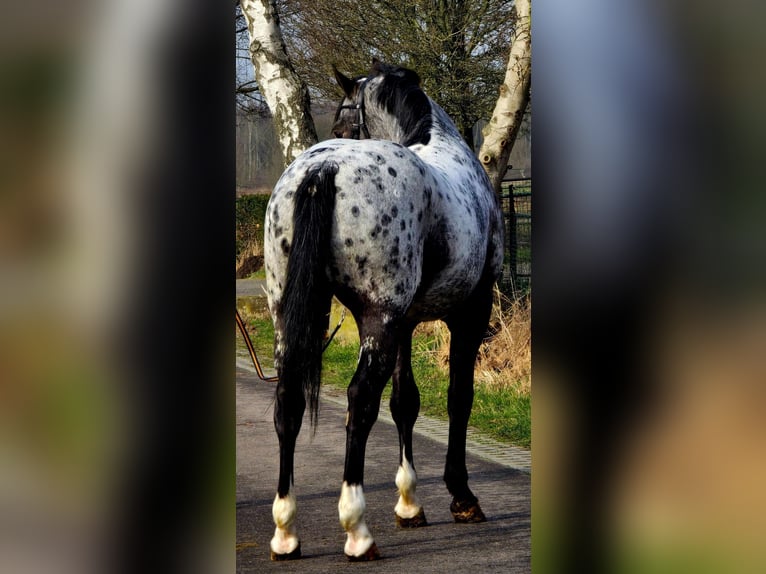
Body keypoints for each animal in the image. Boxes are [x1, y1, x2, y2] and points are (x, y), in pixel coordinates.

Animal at [262, 59, 504, 561]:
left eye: (342, 122)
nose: (336, 133)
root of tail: (324, 167)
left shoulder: (405, 323)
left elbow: (405, 401)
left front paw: (410, 505)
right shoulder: (470, 312)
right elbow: (458, 396)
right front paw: (461, 496)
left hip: (290, 315)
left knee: (289, 400)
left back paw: (286, 532)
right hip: (378, 319)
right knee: (360, 400)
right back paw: (357, 529)